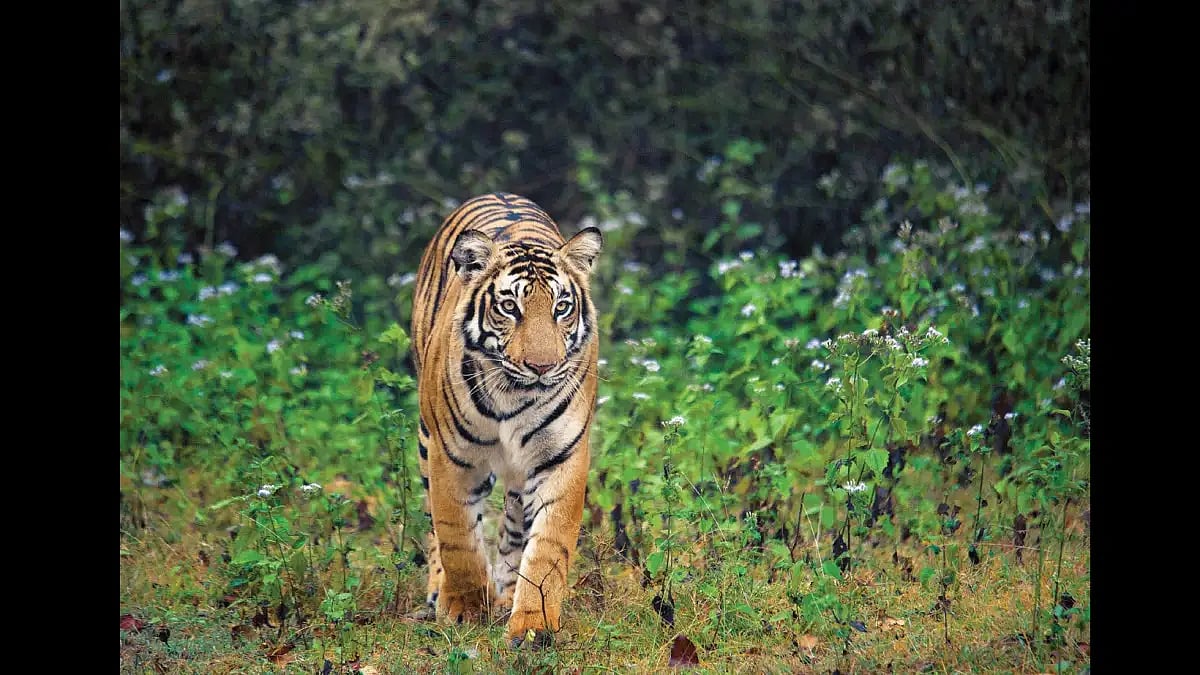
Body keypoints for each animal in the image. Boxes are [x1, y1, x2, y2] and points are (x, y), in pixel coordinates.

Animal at [409, 192, 602, 648]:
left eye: (561, 308)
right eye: (510, 307)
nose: (542, 367)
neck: (514, 394)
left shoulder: (561, 458)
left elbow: (547, 550)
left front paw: (532, 625)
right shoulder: (451, 457)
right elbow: (457, 537)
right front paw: (464, 609)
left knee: (515, 529)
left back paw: (508, 592)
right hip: (426, 440)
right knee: (434, 526)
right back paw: (438, 592)